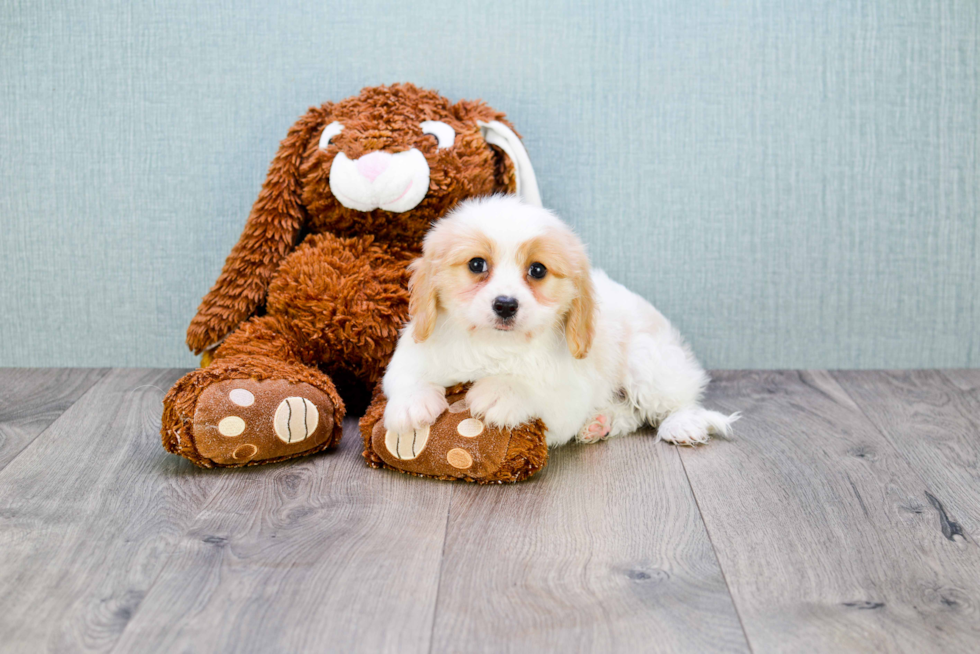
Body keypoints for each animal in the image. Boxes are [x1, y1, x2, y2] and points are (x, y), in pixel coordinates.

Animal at [378, 197, 740, 448]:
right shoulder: (415, 350)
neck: (495, 344)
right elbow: (406, 376)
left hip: (649, 365)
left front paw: (501, 390)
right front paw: (411, 404)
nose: (505, 304)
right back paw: (601, 423)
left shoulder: (567, 396)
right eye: (477, 264)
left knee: (678, 403)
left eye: (537, 270)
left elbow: (535, 391)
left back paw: (682, 425)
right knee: (633, 415)